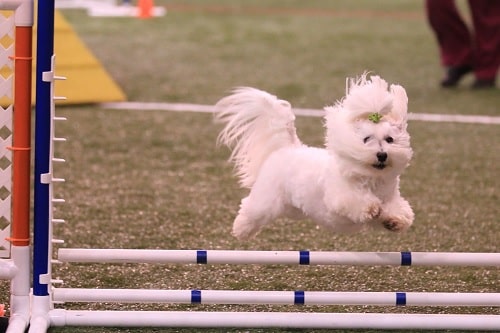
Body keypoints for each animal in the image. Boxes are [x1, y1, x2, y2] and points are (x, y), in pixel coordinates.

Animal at [215, 73, 414, 239]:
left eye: (389, 139)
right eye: (366, 139)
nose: (382, 155)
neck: (371, 177)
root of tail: (289, 146)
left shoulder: (390, 197)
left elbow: (398, 210)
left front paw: (394, 221)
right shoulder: (340, 196)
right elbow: (359, 202)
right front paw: (372, 207)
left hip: (292, 207)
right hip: (267, 198)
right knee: (251, 208)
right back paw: (240, 230)